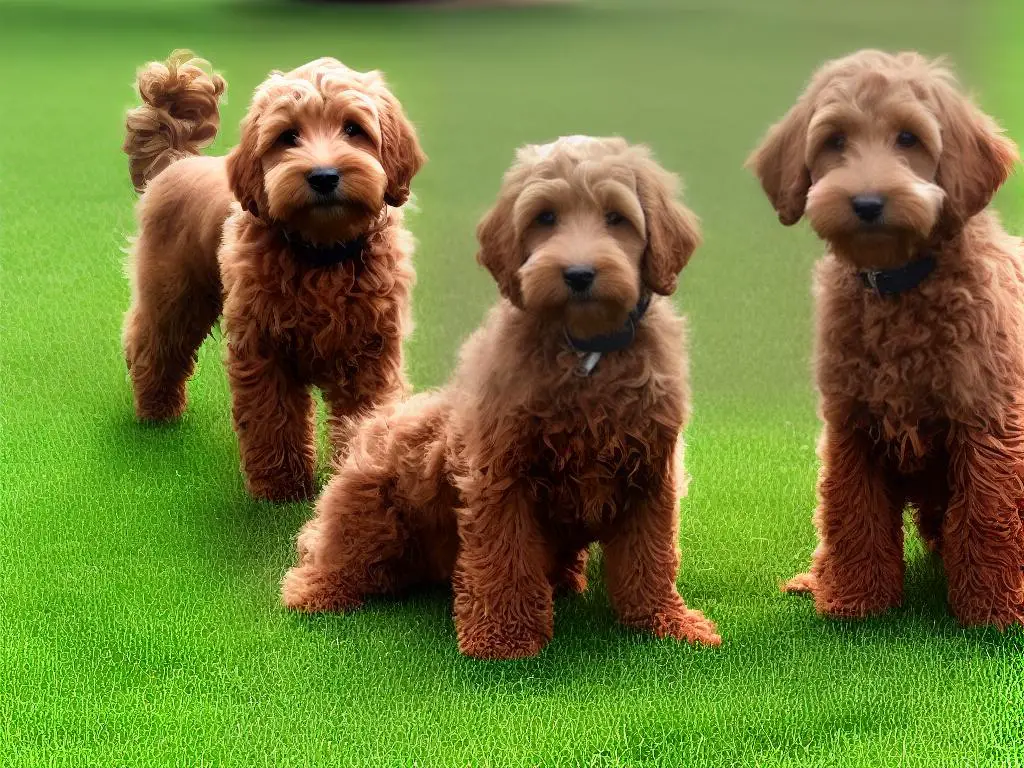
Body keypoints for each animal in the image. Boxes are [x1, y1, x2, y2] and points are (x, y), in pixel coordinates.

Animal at [120, 51, 423, 501]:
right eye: (288, 136)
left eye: (354, 128)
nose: (324, 176)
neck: (322, 255)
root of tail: (178, 160)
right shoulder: (264, 348)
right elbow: (272, 417)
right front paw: (281, 487)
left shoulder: (371, 355)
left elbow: (365, 417)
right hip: (173, 296)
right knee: (153, 343)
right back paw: (156, 411)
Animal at [280, 135, 720, 659]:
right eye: (545, 217)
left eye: (617, 218)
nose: (578, 274)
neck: (585, 354)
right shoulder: (500, 475)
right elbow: (506, 556)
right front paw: (504, 641)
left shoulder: (651, 475)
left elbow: (651, 556)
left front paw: (663, 622)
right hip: (370, 511)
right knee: (331, 554)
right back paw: (317, 590)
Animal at [745, 51, 1024, 634]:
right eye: (834, 140)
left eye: (908, 137)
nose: (868, 202)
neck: (900, 287)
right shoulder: (851, 422)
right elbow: (852, 513)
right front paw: (856, 603)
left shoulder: (987, 419)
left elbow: (988, 514)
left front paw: (995, 612)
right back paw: (815, 578)